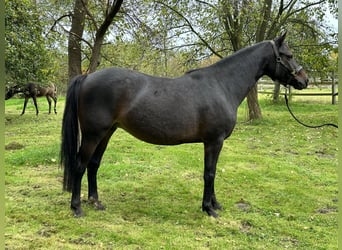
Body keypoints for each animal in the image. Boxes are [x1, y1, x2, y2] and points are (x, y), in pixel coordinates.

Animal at [60, 32, 308, 217]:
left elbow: (212, 172)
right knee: (80, 165)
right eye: (288, 55)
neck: (221, 85)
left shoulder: (214, 143)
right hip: (93, 134)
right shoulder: (214, 141)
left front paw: (215, 204)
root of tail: (87, 77)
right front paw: (208, 209)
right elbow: (209, 173)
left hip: (107, 132)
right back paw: (77, 207)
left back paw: (95, 201)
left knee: (93, 165)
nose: (304, 80)